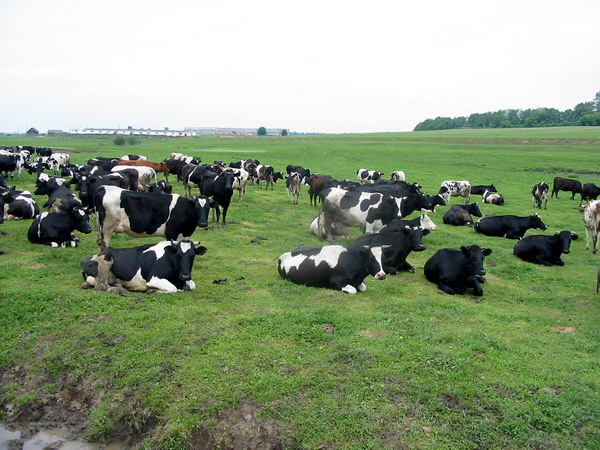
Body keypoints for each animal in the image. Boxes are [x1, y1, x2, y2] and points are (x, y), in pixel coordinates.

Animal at [81, 241, 209, 294]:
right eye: (177, 255)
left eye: (193, 256)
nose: (185, 275)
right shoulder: (153, 278)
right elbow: (173, 288)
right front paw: (152, 290)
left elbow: (192, 285)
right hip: (105, 260)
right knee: (102, 287)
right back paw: (122, 290)